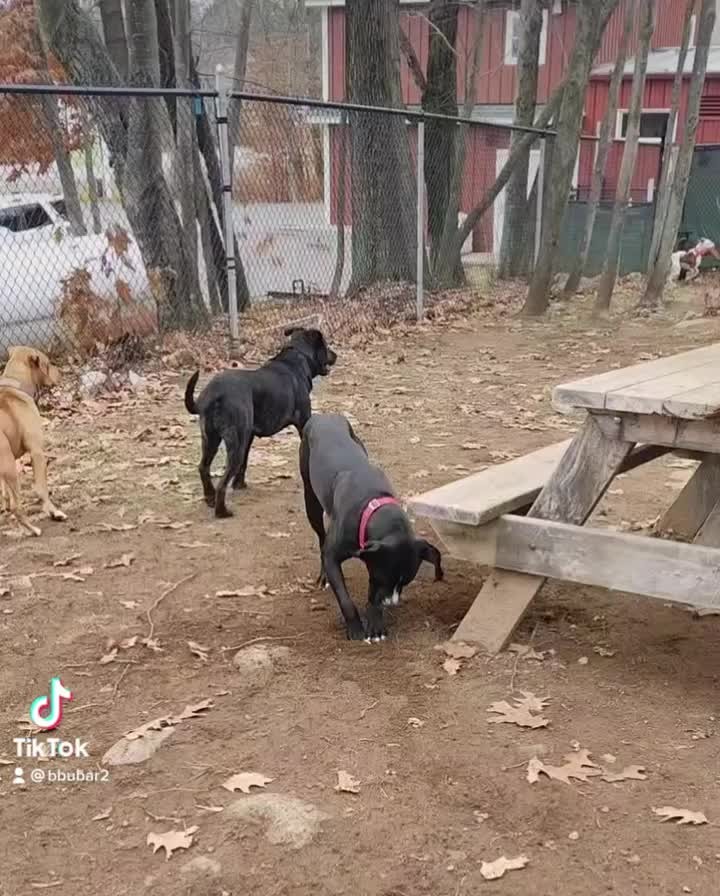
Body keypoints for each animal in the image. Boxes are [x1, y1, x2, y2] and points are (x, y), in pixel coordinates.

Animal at [0, 346, 66, 536]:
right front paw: (54, 512)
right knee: (16, 507)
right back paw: (33, 530)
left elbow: (4, 492)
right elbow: (42, 489)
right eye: (48, 363)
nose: (61, 372)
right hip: (10, 468)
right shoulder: (37, 452)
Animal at [183, 328, 334, 520]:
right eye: (327, 346)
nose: (336, 355)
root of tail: (214, 393)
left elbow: (245, 463)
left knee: (203, 467)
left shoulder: (249, 436)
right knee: (222, 482)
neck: (296, 359)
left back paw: (209, 498)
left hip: (211, 440)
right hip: (234, 445)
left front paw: (239, 484)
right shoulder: (304, 422)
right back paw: (221, 511)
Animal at [300, 410, 444, 640]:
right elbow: (345, 599)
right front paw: (355, 628)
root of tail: (324, 416)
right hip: (311, 501)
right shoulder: (334, 557)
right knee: (321, 538)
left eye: (404, 582)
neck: (371, 500)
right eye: (384, 579)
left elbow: (372, 595)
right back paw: (323, 578)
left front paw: (375, 623)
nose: (392, 603)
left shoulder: (374, 559)